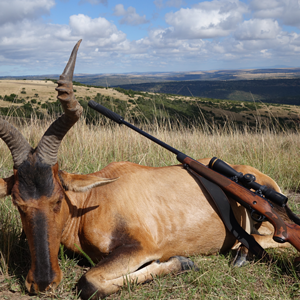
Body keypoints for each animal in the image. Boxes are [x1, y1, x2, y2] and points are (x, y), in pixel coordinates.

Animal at [0, 40, 296, 300]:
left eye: (58, 199)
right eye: (17, 202)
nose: (42, 283)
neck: (93, 198)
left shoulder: (141, 247)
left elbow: (89, 283)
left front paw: (183, 262)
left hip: (266, 229)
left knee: (267, 241)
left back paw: (241, 253)